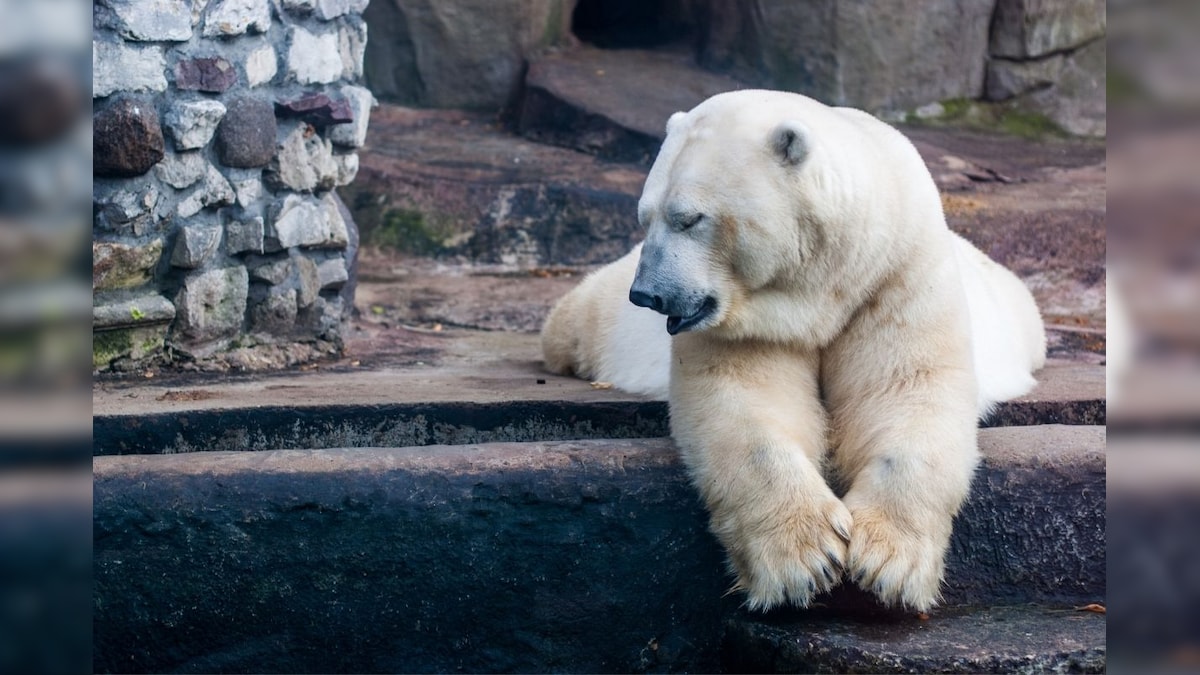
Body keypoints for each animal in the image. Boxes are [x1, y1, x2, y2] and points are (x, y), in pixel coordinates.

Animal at [540, 89, 1046, 610]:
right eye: (645, 218)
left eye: (689, 218)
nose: (647, 295)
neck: (829, 282)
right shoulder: (750, 322)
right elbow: (746, 398)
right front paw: (806, 559)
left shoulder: (897, 273)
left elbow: (907, 387)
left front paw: (887, 562)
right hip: (602, 313)